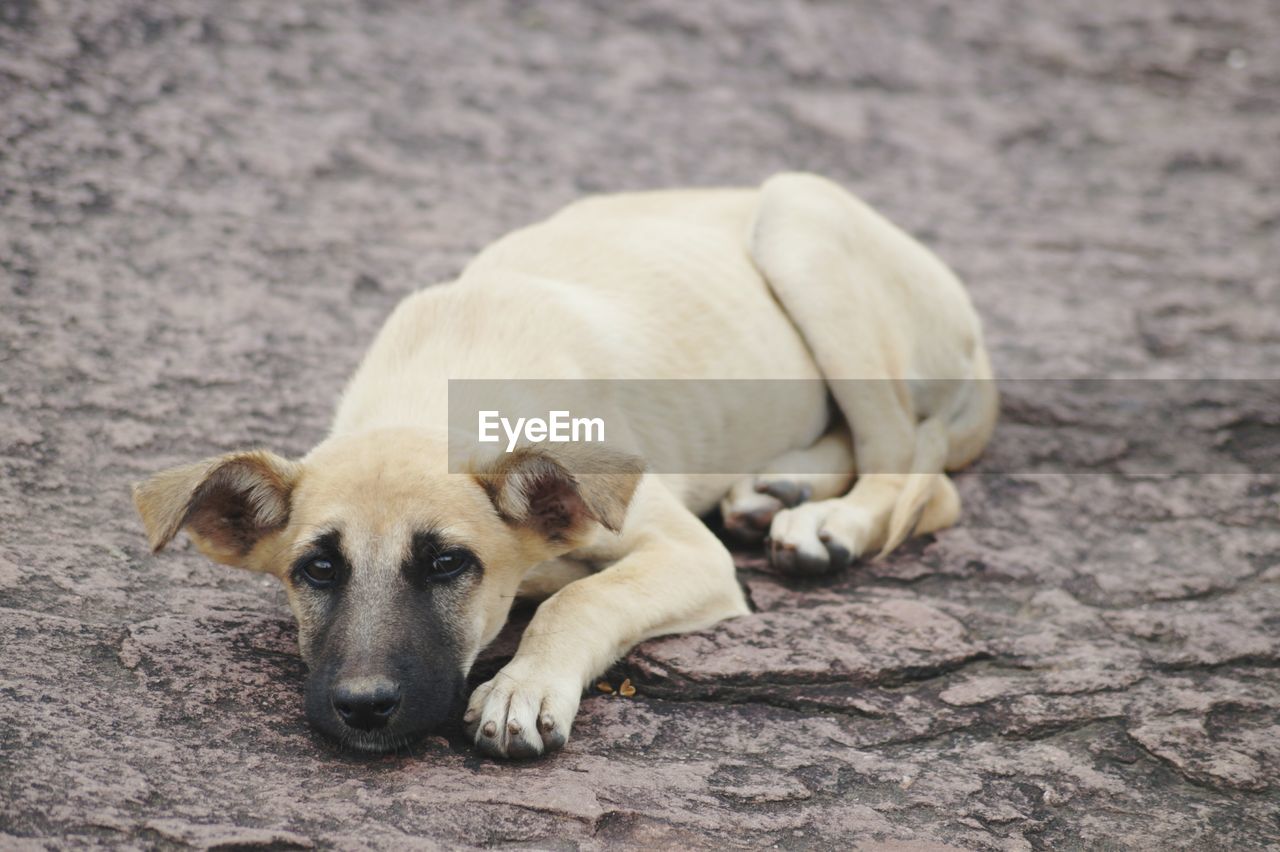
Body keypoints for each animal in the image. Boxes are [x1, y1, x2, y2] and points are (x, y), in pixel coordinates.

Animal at [137, 173, 998, 757]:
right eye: (316, 570)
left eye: (449, 563)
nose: (365, 707)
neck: (439, 384)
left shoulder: (688, 552)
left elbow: (577, 599)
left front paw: (522, 687)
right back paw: (779, 482)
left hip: (801, 224)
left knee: (913, 468)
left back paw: (830, 519)